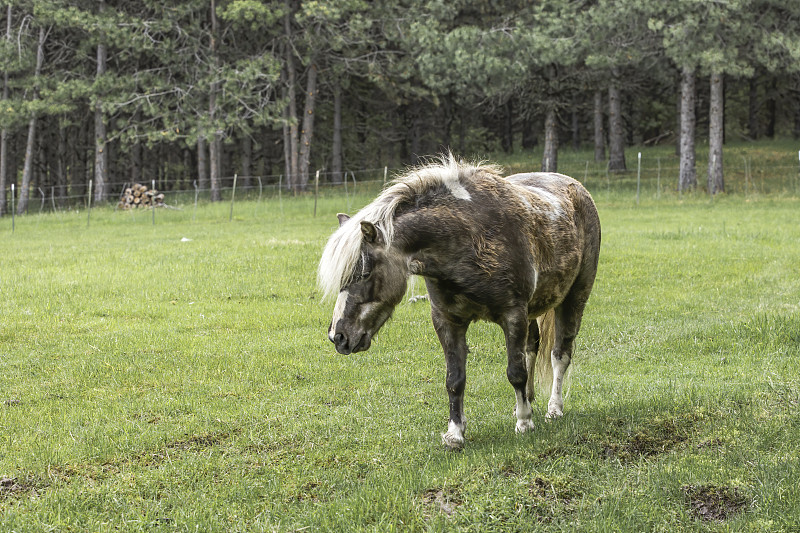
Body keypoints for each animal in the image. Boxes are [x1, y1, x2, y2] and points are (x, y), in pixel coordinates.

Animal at [318, 154, 600, 448]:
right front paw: (455, 433)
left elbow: (515, 372)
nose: (337, 336)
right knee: (532, 348)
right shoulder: (447, 321)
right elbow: (455, 379)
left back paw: (553, 408)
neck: (470, 236)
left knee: (560, 354)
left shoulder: (513, 315)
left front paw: (524, 423)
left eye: (364, 272)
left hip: (574, 297)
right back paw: (527, 402)